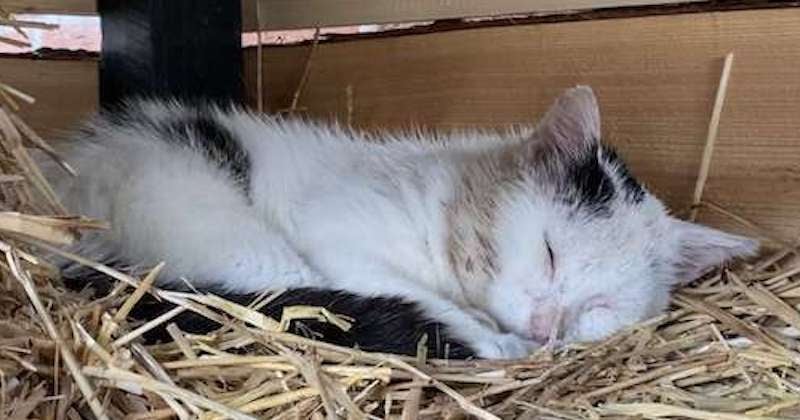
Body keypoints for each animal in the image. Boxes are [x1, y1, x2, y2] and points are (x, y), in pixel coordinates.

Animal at [42, 85, 756, 358]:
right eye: (551, 251)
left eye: (601, 305)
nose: (546, 327)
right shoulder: (335, 233)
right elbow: (398, 289)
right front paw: (493, 343)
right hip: (231, 230)